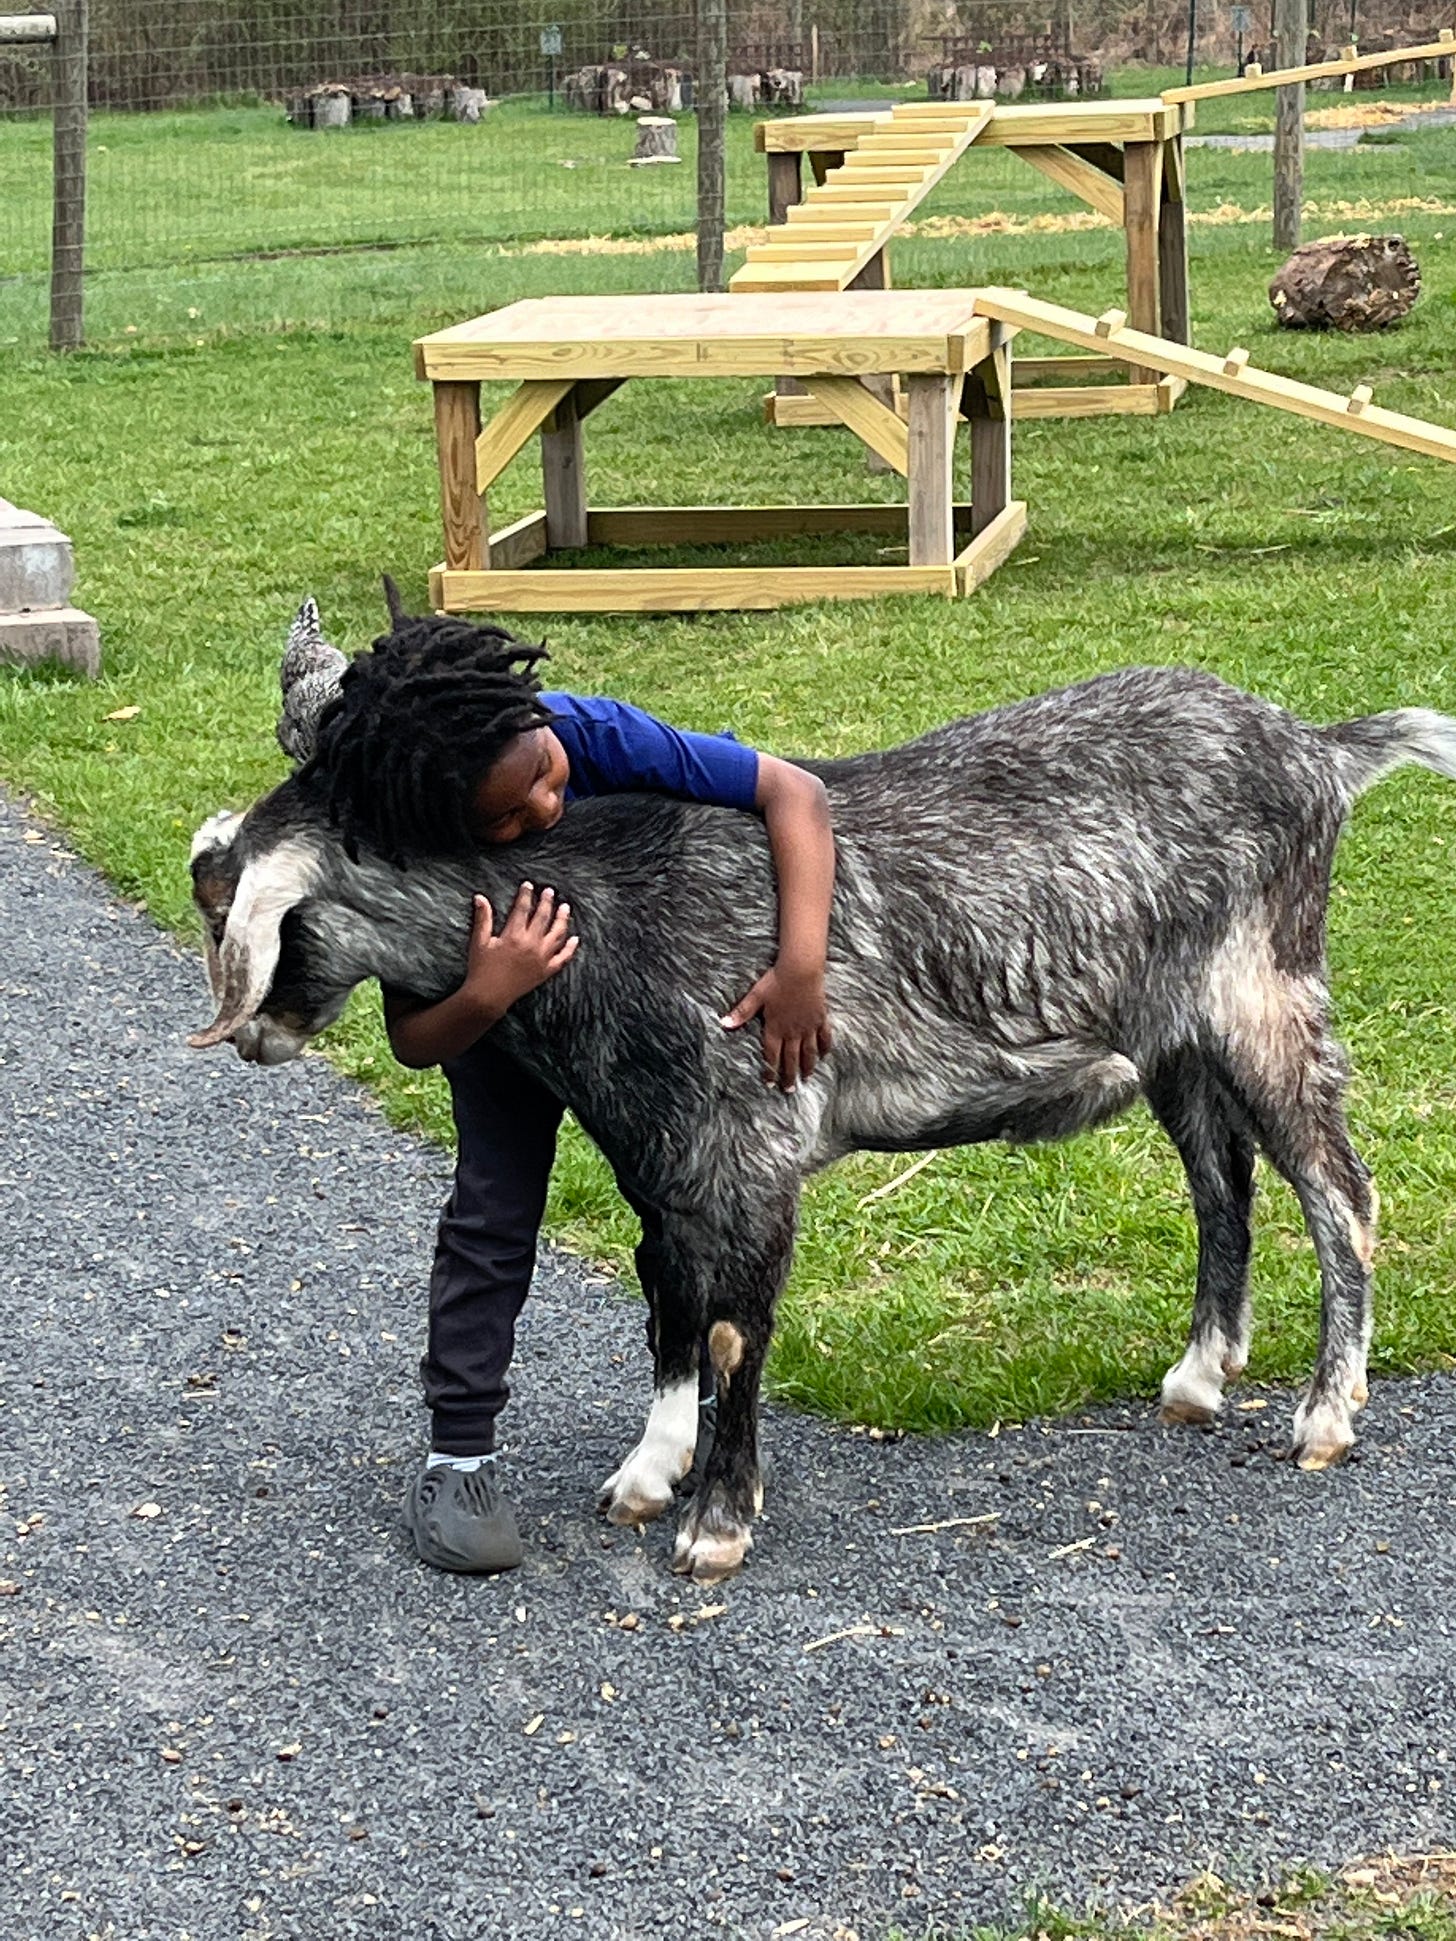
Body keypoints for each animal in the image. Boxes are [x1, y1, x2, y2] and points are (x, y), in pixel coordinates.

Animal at [188, 655, 1456, 1582]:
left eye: (243, 912)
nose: (257, 1036)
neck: (605, 910)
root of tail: (1316, 750)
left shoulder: (748, 1151)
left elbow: (730, 1334)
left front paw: (715, 1527)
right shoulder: (663, 1156)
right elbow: (667, 1306)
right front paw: (647, 1475)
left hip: (1262, 999)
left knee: (1338, 1191)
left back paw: (1322, 1416)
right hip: (1174, 1039)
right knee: (1220, 1179)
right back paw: (1198, 1376)